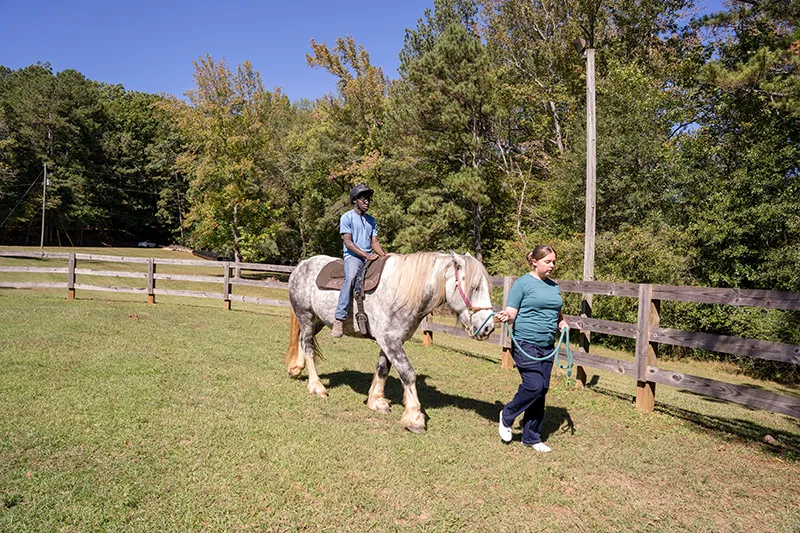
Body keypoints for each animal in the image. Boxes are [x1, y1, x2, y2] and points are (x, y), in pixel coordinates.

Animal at [284, 251, 496, 433]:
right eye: (475, 287)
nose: (489, 328)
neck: (401, 291)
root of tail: (302, 265)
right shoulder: (390, 340)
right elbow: (408, 374)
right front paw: (414, 418)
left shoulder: (390, 340)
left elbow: (383, 369)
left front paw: (377, 401)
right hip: (305, 316)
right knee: (309, 347)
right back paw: (316, 387)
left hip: (317, 321)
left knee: (302, 341)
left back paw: (296, 369)